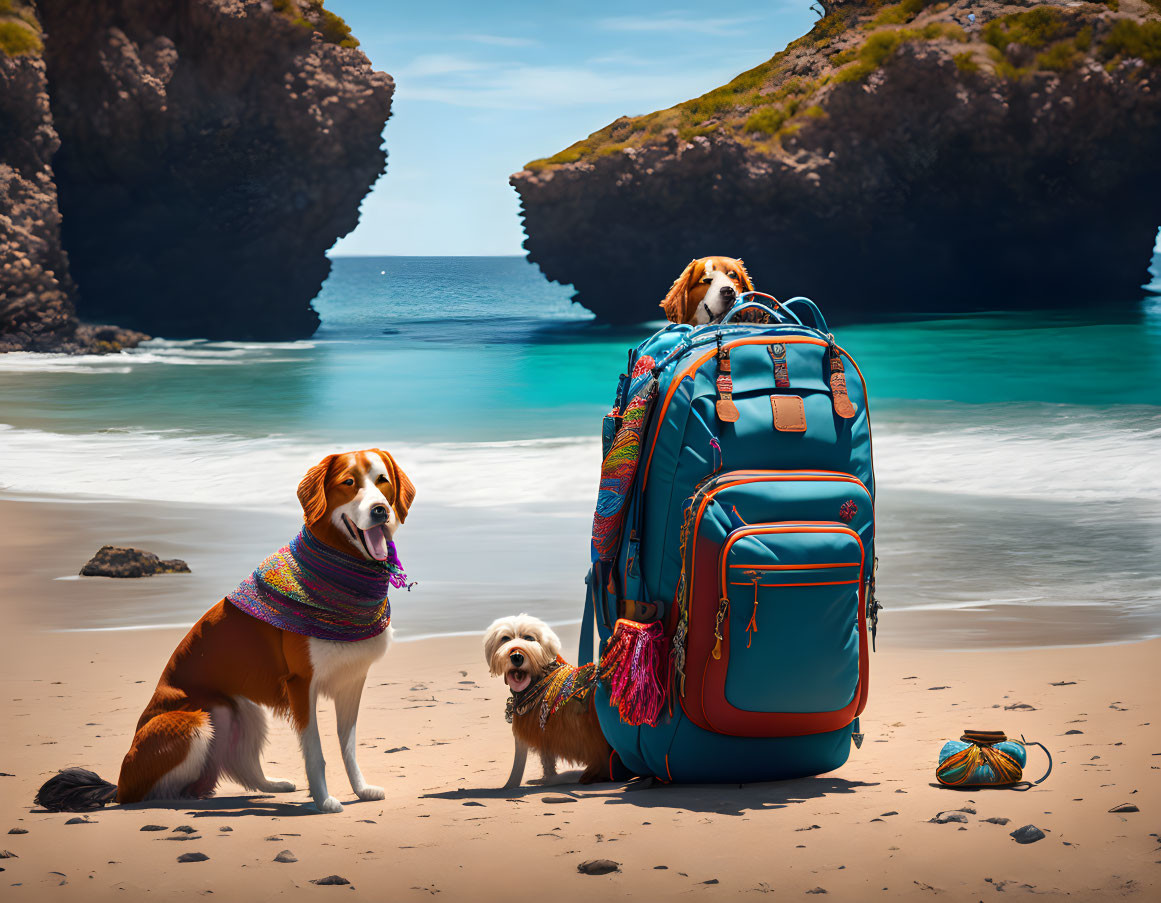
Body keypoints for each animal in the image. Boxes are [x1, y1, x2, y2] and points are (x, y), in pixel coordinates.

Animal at [35, 448, 413, 807]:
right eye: (349, 483)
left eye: (382, 481)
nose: (380, 511)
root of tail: (118, 782)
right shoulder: (300, 685)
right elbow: (315, 751)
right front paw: (324, 802)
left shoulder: (351, 681)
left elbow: (348, 747)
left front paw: (360, 790)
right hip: (196, 723)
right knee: (148, 793)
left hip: (240, 709)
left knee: (235, 769)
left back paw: (270, 785)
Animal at [480, 612, 613, 789]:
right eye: (505, 638)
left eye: (529, 637)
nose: (517, 656)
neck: (540, 680)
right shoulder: (545, 734)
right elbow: (547, 758)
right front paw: (546, 778)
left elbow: (546, 757)